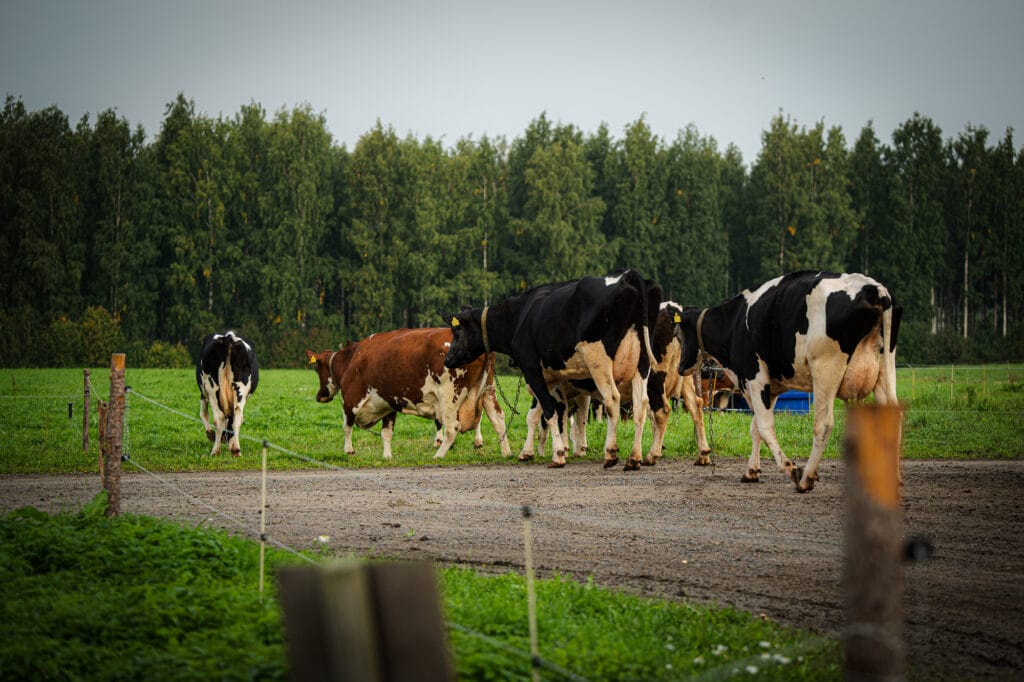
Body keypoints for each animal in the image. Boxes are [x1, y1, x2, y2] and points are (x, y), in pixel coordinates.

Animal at [303, 327, 512, 458]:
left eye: (316, 368)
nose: (320, 396)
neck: (352, 359)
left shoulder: (350, 401)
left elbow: (346, 427)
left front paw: (348, 451)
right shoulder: (388, 403)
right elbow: (386, 433)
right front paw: (387, 456)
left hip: (450, 395)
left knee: (452, 427)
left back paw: (438, 456)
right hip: (487, 390)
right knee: (498, 418)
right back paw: (506, 452)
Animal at [446, 268, 655, 471]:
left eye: (456, 331)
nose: (448, 359)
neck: (520, 316)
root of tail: (626, 275)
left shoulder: (532, 371)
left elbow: (549, 412)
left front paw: (558, 455)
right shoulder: (550, 379)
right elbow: (538, 415)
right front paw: (529, 452)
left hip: (598, 360)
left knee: (612, 399)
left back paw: (611, 454)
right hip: (642, 363)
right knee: (641, 405)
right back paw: (634, 458)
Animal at [675, 270, 901, 489]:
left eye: (678, 334)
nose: (680, 367)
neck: (734, 323)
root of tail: (873, 288)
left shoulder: (755, 379)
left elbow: (765, 428)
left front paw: (791, 469)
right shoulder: (769, 388)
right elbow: (755, 427)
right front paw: (751, 471)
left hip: (825, 370)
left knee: (823, 424)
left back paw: (806, 478)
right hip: (884, 368)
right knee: (893, 416)